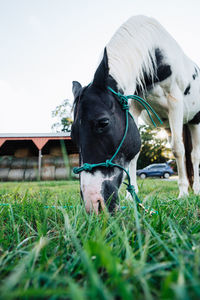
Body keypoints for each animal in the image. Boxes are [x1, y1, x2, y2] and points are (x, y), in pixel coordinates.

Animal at [70, 15, 200, 213]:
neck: (154, 55)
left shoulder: (175, 103)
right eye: (72, 135)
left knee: (193, 155)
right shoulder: (133, 108)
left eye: (103, 123)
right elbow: (135, 155)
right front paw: (131, 196)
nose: (93, 203)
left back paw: (196, 189)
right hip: (170, 127)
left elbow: (178, 150)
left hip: (194, 121)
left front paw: (183, 193)